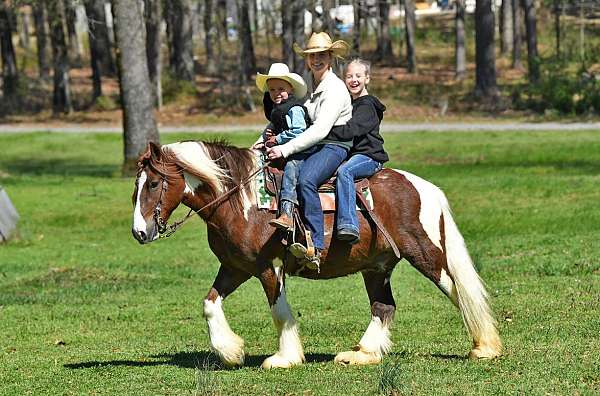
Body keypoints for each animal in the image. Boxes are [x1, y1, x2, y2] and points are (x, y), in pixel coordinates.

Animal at [131, 140, 502, 368]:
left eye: (154, 184)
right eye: (136, 186)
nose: (139, 232)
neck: (242, 201)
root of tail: (425, 188)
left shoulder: (269, 266)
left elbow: (279, 312)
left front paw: (284, 358)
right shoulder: (235, 267)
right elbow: (209, 304)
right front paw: (231, 352)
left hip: (426, 255)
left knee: (459, 291)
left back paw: (484, 346)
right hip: (377, 267)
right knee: (384, 306)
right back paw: (362, 354)